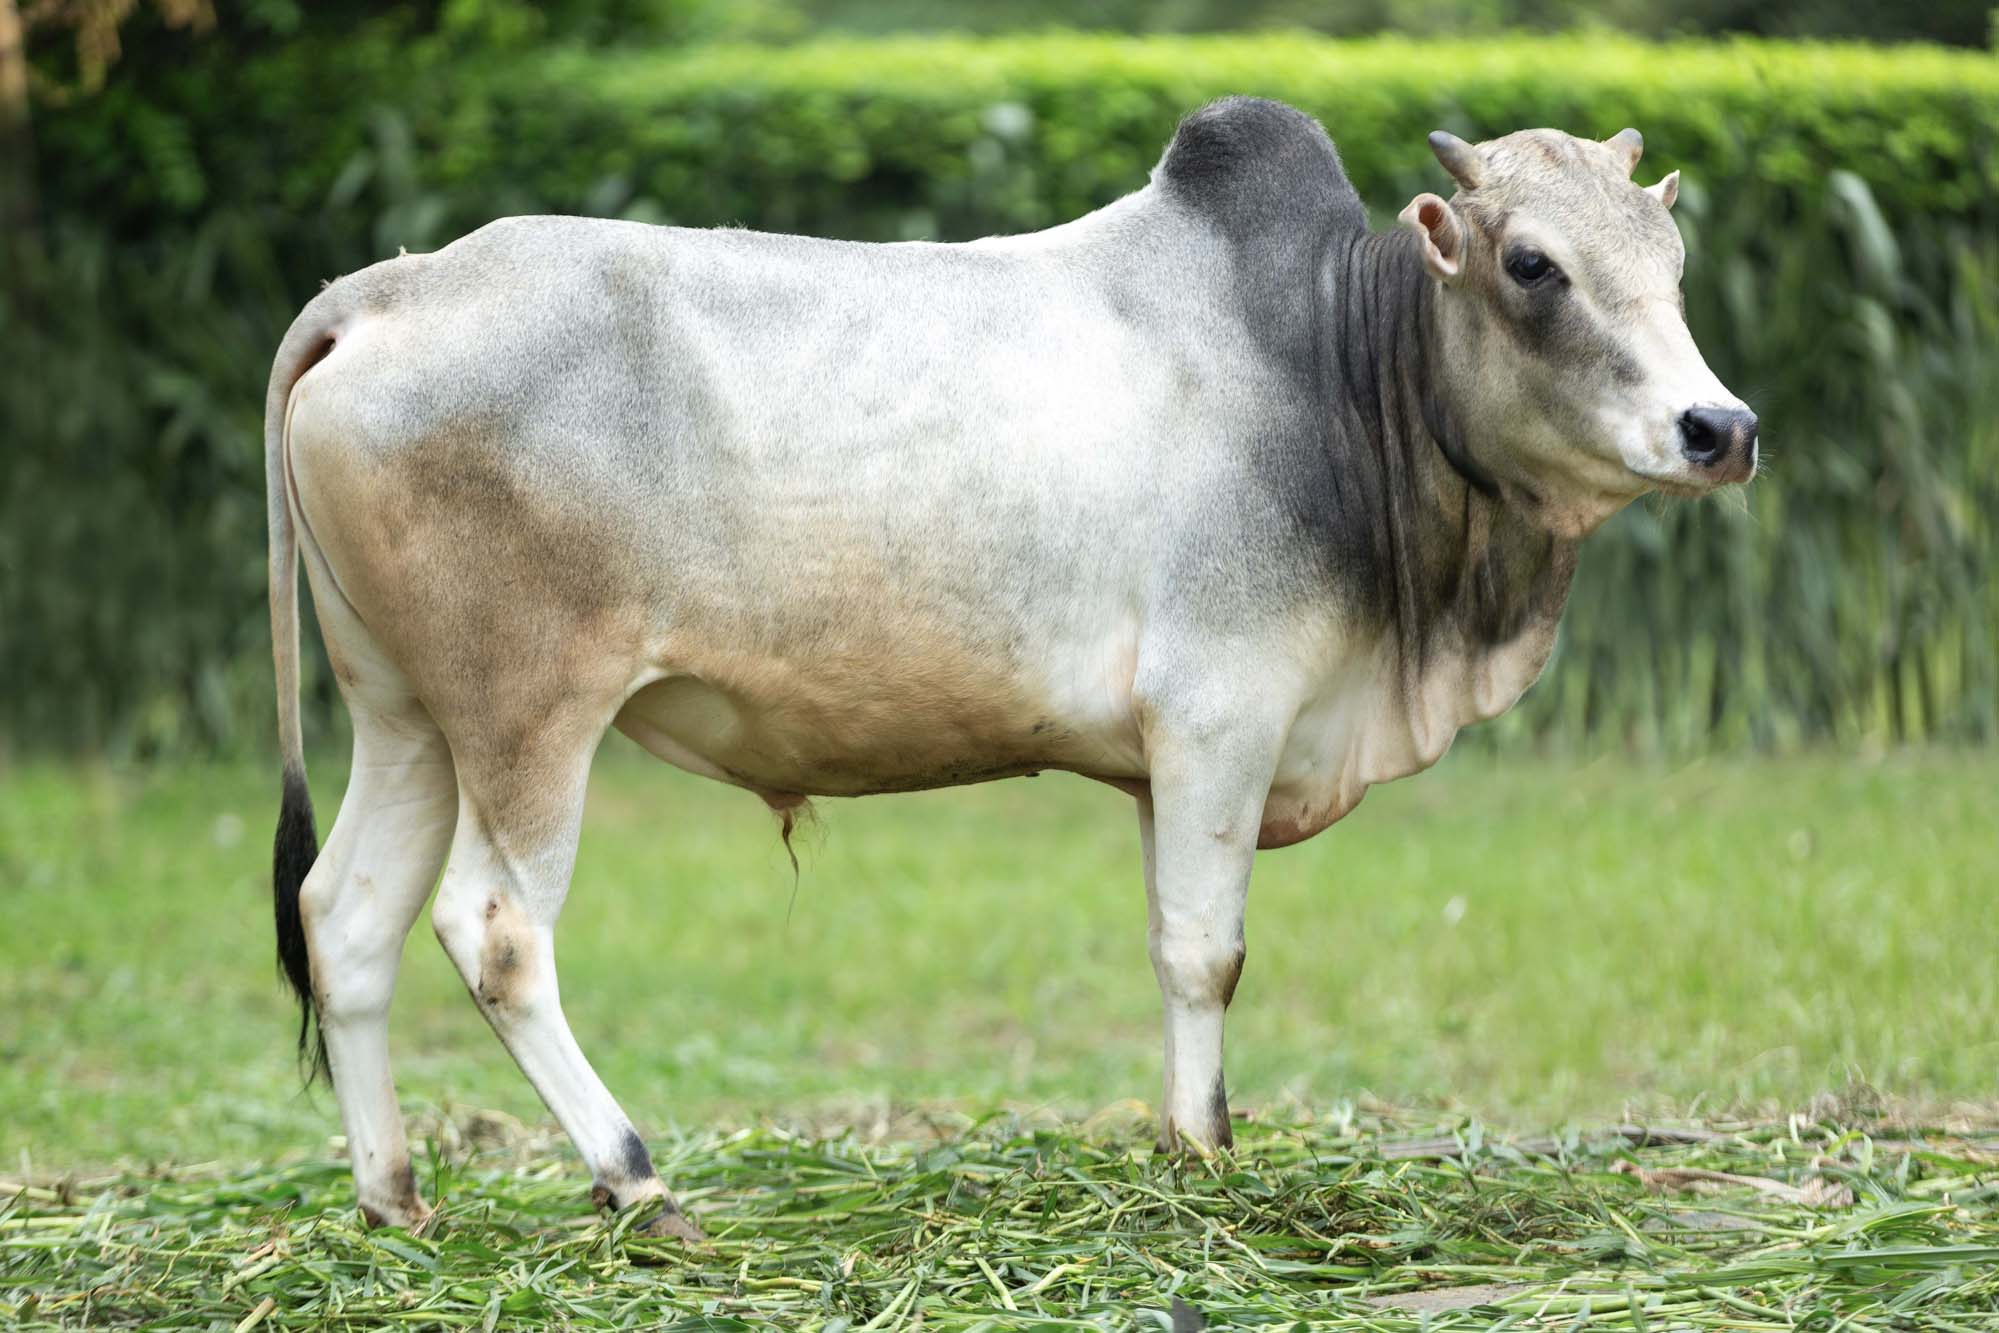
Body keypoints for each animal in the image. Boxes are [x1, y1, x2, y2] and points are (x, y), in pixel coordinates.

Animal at [264, 98, 1756, 1237]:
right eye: (1532, 265)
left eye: (1673, 259)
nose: (1718, 427)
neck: (1335, 372)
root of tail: (381, 288)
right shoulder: (1221, 716)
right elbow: (1205, 952)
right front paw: (1203, 1160)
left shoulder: (1171, 762)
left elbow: (1171, 944)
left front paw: (1184, 1146)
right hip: (528, 718)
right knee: (493, 930)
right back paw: (635, 1180)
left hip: (405, 718)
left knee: (344, 913)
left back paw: (394, 1200)